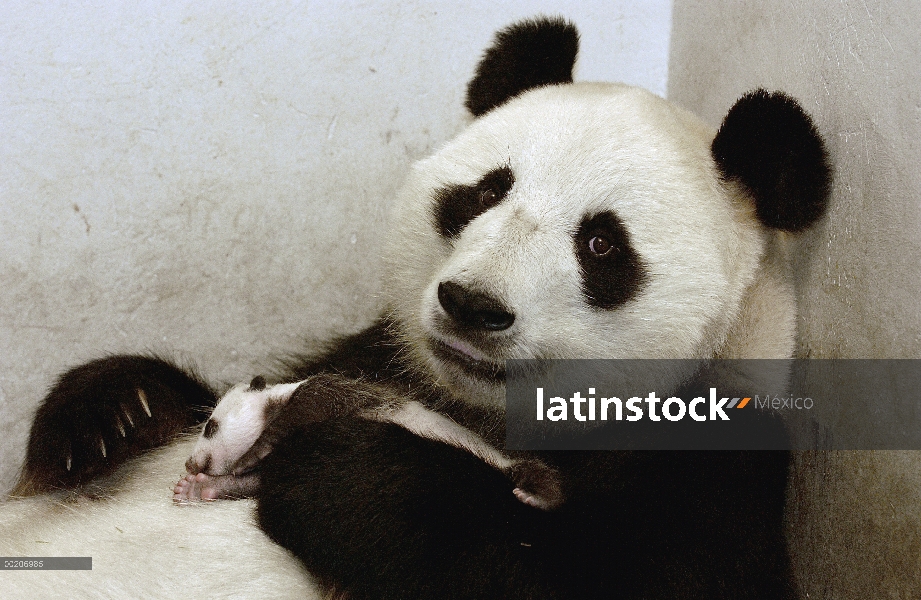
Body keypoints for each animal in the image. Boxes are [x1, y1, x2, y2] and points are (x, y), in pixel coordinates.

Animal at [1, 16, 828, 596]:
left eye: (600, 245)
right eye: (485, 193)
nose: (471, 304)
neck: (475, 410)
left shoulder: (714, 460)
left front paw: (342, 471)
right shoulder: (372, 351)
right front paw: (114, 413)